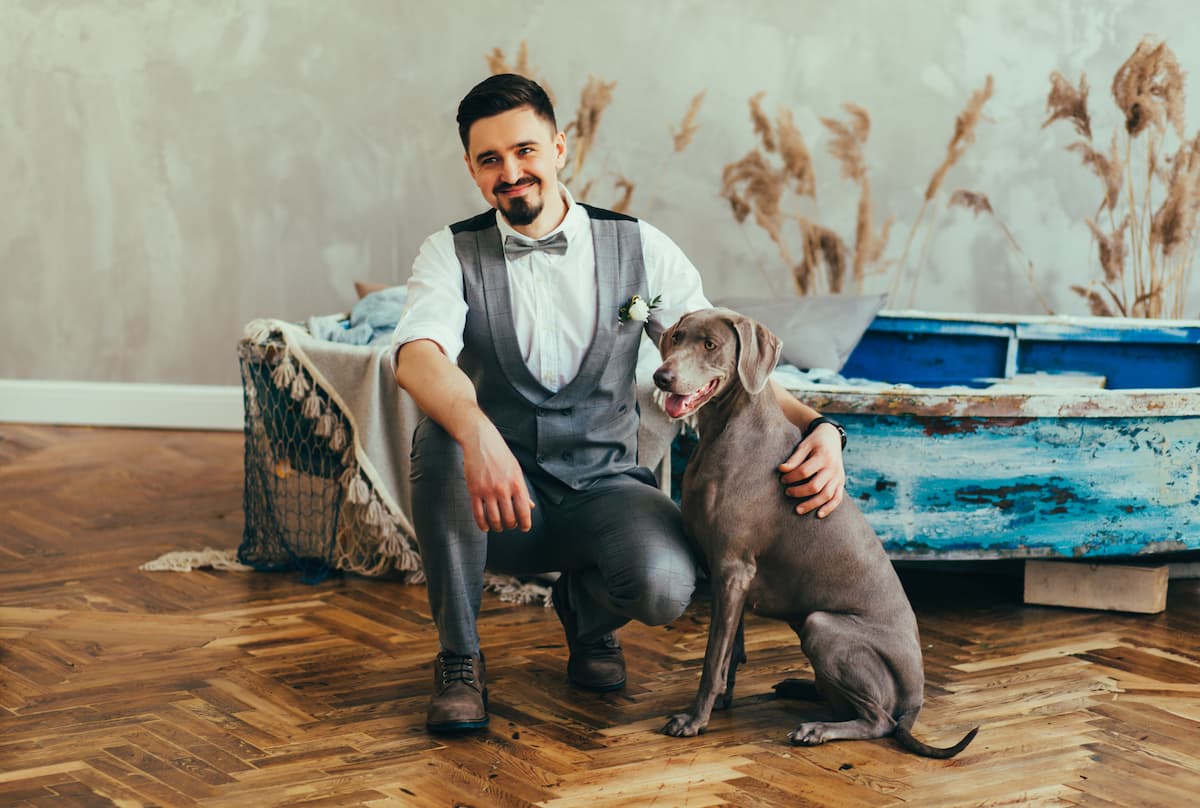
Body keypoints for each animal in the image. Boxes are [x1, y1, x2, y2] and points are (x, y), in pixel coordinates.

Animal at [652, 309, 979, 758]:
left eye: (710, 345)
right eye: (676, 337)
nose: (661, 376)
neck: (728, 431)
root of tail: (916, 698)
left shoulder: (733, 569)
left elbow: (713, 657)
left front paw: (694, 719)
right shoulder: (732, 577)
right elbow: (730, 651)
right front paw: (721, 703)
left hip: (822, 627)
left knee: (879, 720)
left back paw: (817, 729)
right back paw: (800, 687)